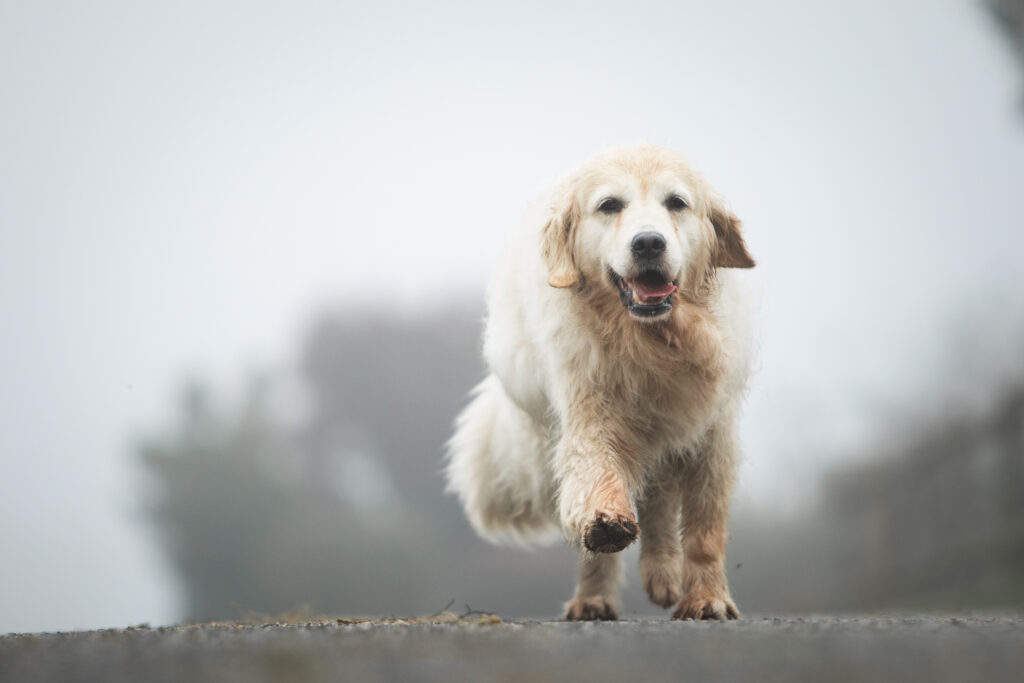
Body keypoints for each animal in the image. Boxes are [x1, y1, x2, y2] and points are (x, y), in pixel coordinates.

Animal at [444, 144, 757, 618]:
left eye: (676, 203)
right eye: (610, 205)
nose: (648, 242)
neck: (653, 342)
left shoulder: (712, 434)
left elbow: (705, 529)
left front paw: (708, 599)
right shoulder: (590, 413)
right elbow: (596, 475)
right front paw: (607, 523)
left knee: (660, 503)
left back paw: (663, 574)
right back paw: (594, 598)